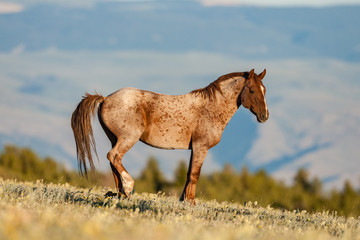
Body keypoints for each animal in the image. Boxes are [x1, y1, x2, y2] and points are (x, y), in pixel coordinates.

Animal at [71, 68, 268, 203]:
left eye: (264, 89)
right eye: (252, 90)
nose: (264, 116)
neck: (209, 108)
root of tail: (105, 99)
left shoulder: (194, 149)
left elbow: (189, 174)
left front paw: (183, 200)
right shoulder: (201, 147)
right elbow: (194, 174)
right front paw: (191, 203)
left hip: (115, 138)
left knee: (113, 162)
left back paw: (121, 194)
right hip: (128, 138)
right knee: (114, 156)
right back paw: (128, 186)